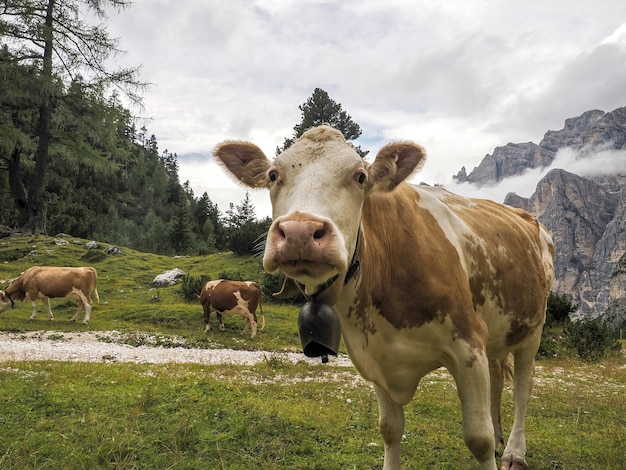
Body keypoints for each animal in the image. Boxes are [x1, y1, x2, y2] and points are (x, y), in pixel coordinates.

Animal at [213, 126, 552, 470]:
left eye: (360, 176)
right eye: (273, 175)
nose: (300, 232)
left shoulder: (469, 344)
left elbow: (479, 440)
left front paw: (491, 444)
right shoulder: (374, 354)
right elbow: (390, 429)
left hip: (533, 327)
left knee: (523, 388)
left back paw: (513, 452)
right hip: (498, 333)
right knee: (498, 380)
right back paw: (500, 435)